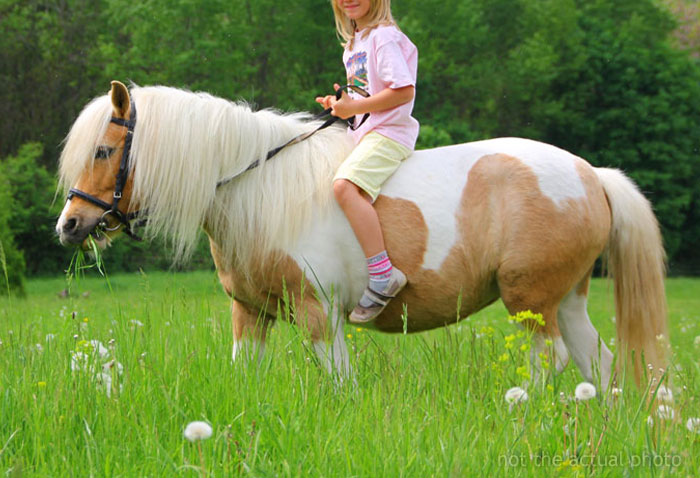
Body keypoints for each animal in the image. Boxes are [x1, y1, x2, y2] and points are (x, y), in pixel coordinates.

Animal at [56, 81, 668, 388]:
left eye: (104, 150)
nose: (70, 225)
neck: (261, 187)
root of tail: (592, 175)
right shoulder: (250, 314)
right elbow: (244, 376)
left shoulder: (319, 313)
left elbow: (339, 382)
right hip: (566, 299)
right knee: (598, 365)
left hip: (531, 302)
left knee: (551, 362)